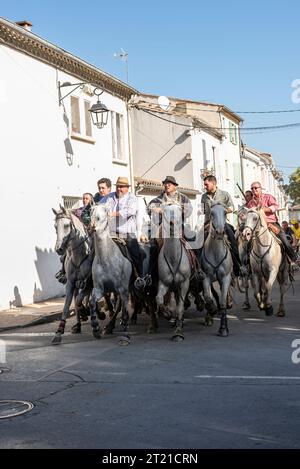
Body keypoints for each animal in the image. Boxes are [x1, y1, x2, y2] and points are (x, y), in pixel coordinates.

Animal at [51, 206, 94, 344]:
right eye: (55, 226)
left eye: (66, 225)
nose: (59, 249)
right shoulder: (71, 283)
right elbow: (67, 306)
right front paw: (58, 332)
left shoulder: (89, 284)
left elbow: (81, 300)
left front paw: (86, 311)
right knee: (76, 299)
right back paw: (78, 325)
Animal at [88, 203, 132, 342]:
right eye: (91, 211)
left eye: (106, 212)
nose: (92, 226)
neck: (105, 259)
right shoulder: (100, 288)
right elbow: (92, 303)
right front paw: (96, 328)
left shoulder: (122, 289)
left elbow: (123, 309)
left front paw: (125, 333)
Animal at [155, 203, 192, 342]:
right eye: (164, 212)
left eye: (179, 212)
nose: (171, 224)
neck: (173, 259)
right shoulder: (163, 282)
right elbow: (159, 299)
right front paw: (166, 313)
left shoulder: (184, 284)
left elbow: (180, 308)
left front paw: (178, 332)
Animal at [200, 203, 233, 334]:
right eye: (212, 213)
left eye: (225, 212)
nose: (219, 232)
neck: (216, 253)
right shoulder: (206, 277)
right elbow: (208, 297)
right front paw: (212, 311)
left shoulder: (225, 278)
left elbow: (223, 302)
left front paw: (223, 328)